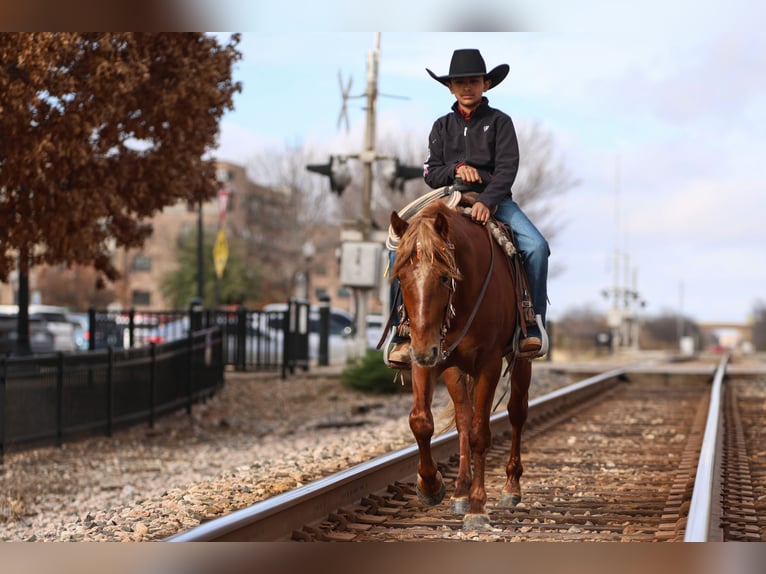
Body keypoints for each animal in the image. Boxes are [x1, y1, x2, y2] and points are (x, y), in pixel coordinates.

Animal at [392, 201, 532, 532]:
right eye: (400, 277)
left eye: (445, 277)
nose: (423, 350)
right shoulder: (428, 358)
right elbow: (421, 422)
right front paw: (431, 486)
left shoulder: (488, 365)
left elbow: (482, 433)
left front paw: (478, 508)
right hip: (453, 370)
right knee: (463, 420)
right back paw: (459, 492)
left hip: (520, 362)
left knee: (516, 413)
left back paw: (510, 487)